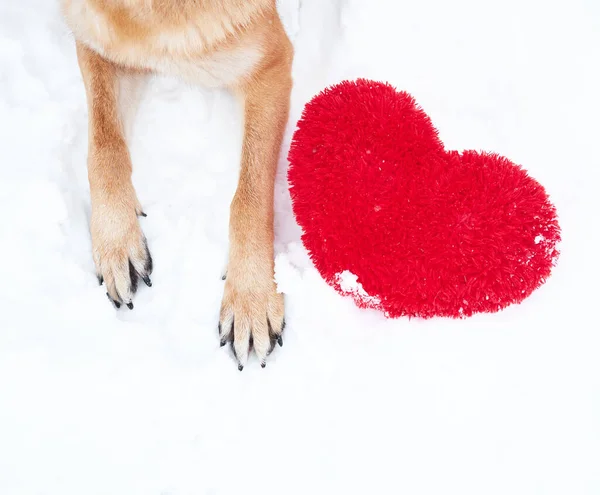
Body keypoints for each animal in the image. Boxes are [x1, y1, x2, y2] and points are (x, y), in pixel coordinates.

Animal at [61, 0, 292, 370]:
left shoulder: (268, 66)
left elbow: (249, 198)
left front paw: (251, 297)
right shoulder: (99, 42)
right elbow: (105, 145)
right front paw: (115, 238)